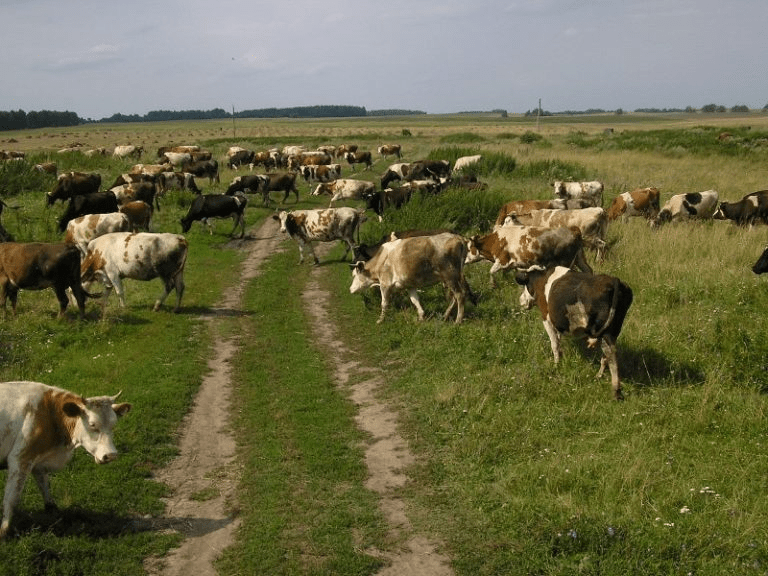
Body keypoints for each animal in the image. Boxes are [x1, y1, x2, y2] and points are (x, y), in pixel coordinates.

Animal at [0, 381, 131, 539]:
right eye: (92, 425)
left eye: (114, 424)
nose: (111, 455)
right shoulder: (20, 458)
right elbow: (11, 499)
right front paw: (4, 530)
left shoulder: (38, 460)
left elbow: (45, 485)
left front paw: (52, 509)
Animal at [514, 266, 633, 400]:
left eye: (526, 284)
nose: (521, 300)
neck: (542, 277)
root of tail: (613, 280)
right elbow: (559, 342)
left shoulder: (546, 317)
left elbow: (554, 345)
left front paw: (556, 365)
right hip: (614, 330)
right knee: (607, 356)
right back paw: (599, 376)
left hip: (606, 333)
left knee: (611, 355)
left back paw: (615, 390)